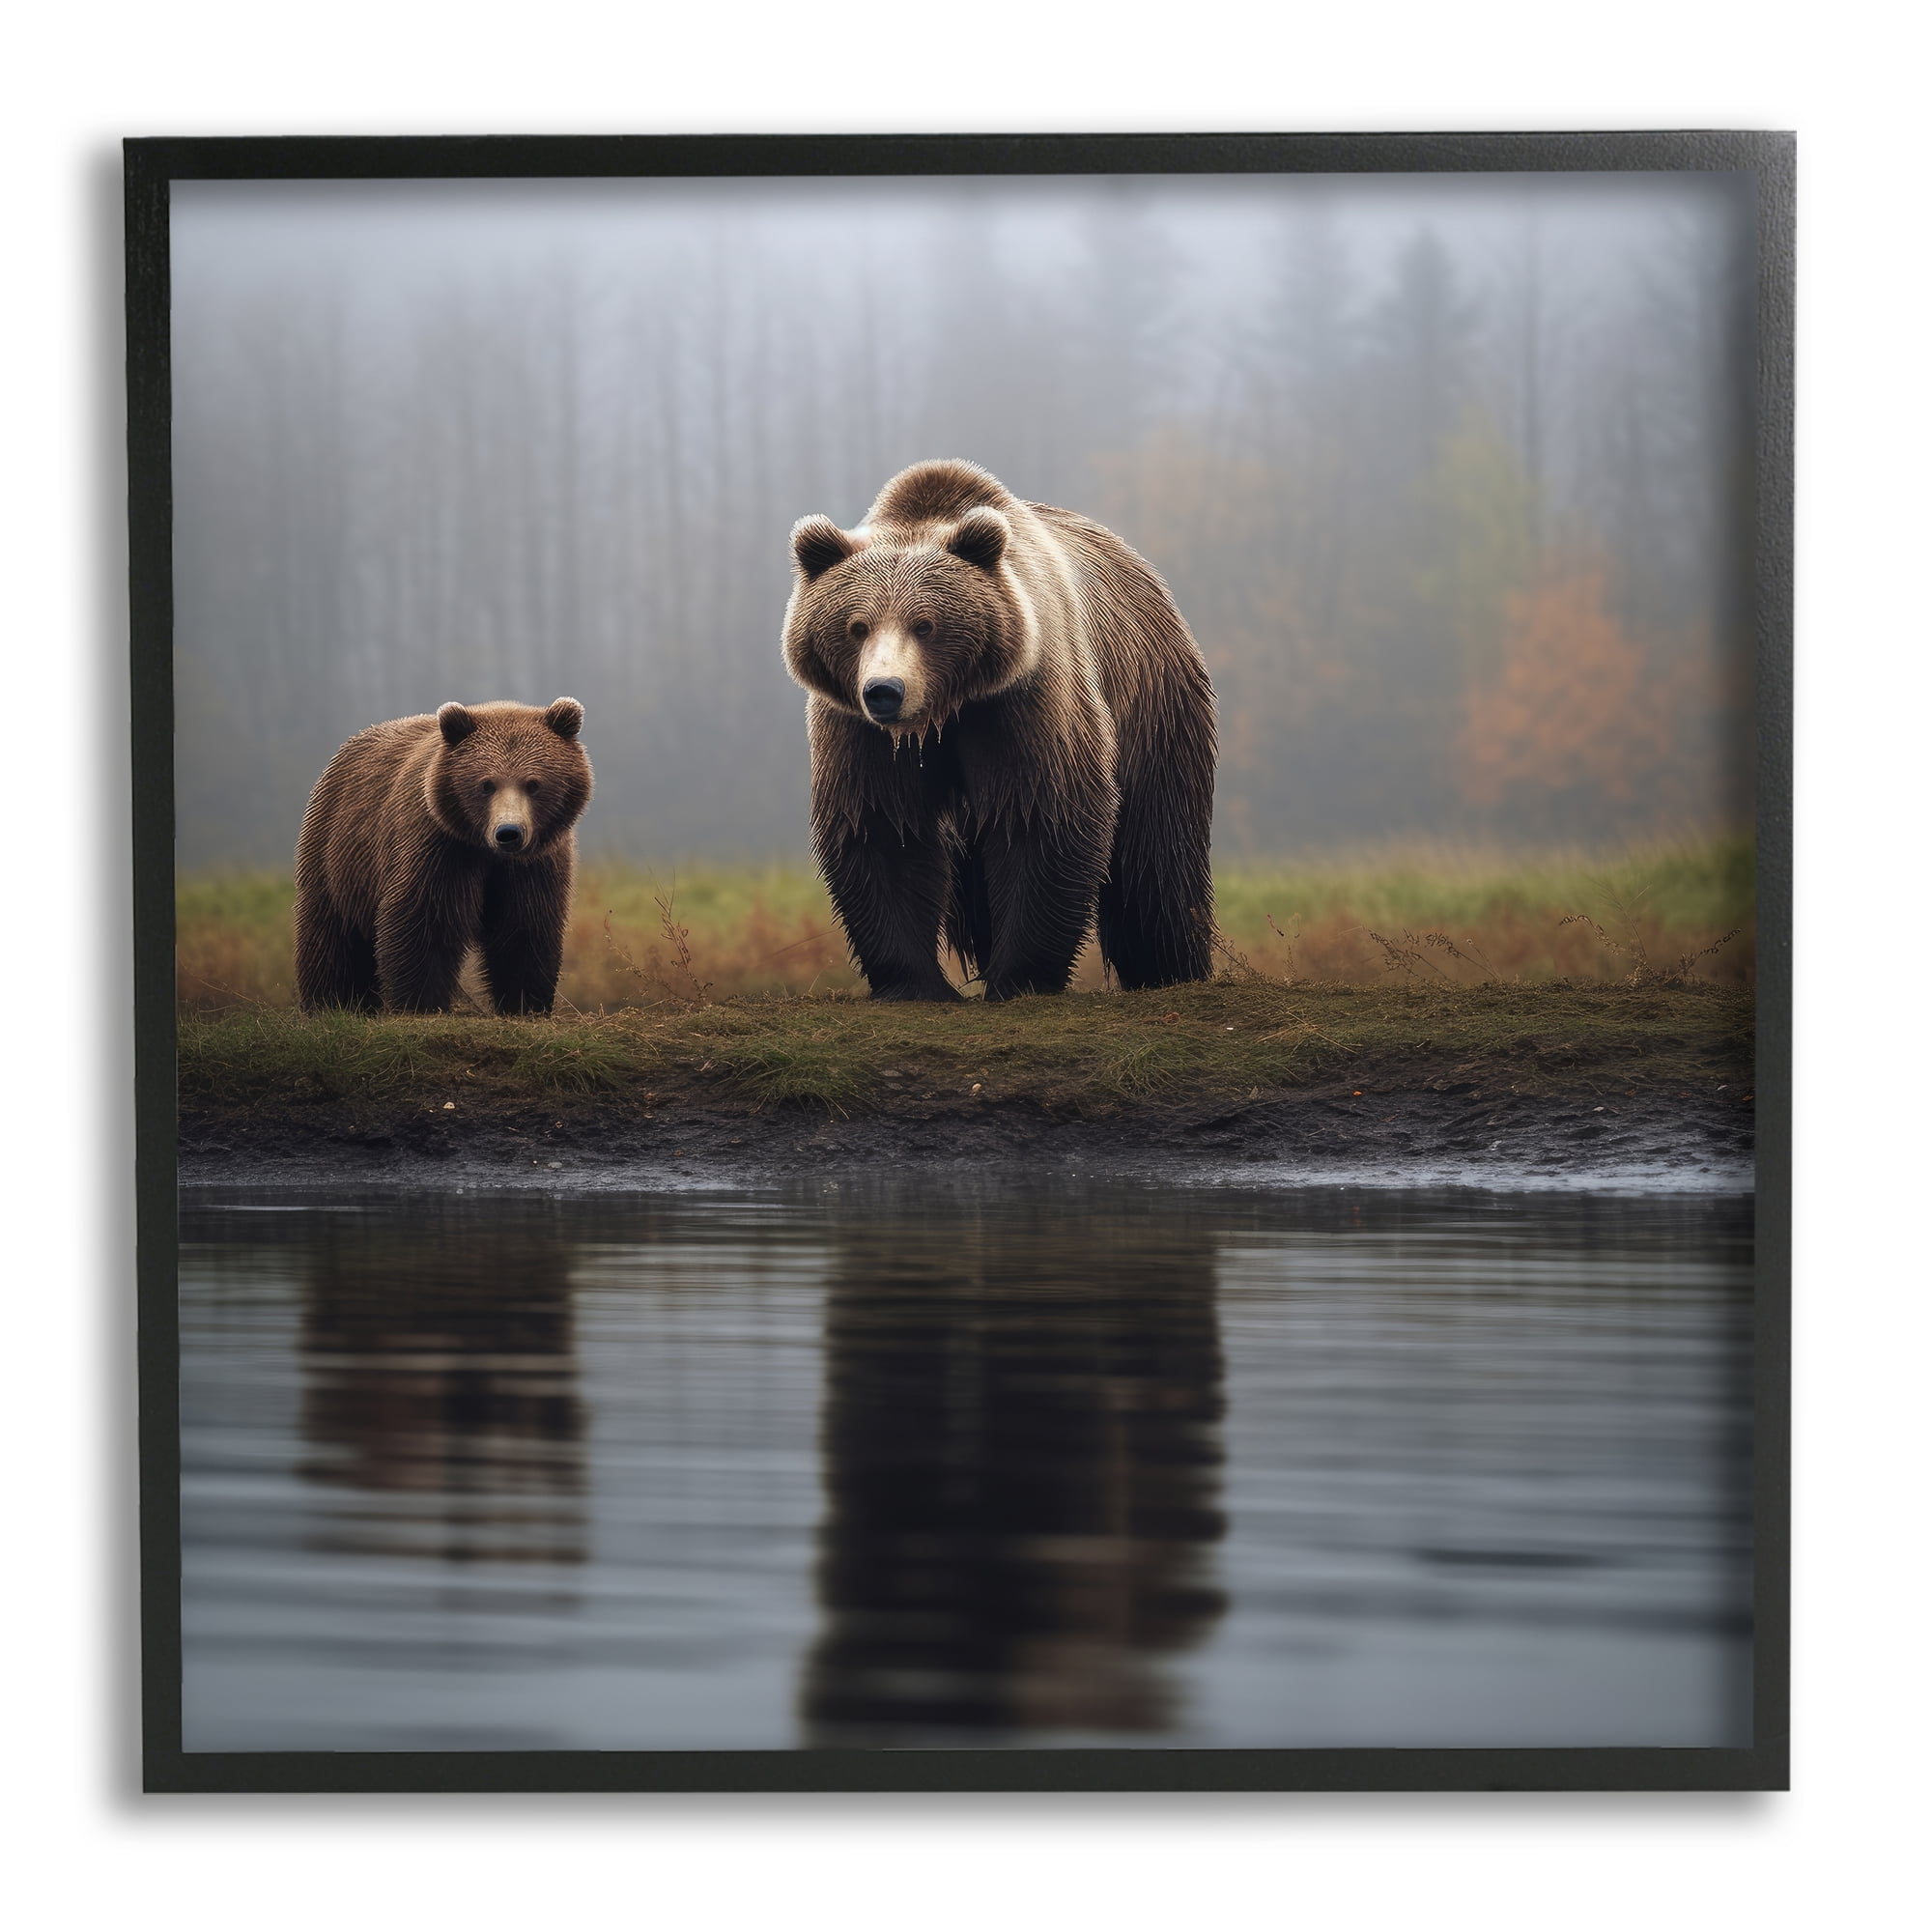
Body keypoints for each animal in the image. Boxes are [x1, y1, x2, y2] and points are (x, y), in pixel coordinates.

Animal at [293, 697, 592, 1015]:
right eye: (486, 784)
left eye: (533, 783)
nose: (508, 832)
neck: (485, 851)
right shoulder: (439, 848)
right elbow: (425, 921)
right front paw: (420, 1002)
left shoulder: (533, 863)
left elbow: (524, 925)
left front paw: (525, 1002)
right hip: (337, 854)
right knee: (331, 937)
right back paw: (331, 1002)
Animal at [781, 459, 1216, 1001]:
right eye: (857, 626)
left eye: (925, 624)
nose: (885, 690)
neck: (944, 712)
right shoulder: (861, 733)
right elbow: (883, 824)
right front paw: (916, 982)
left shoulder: (1023, 703)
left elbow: (1042, 815)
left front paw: (1020, 977)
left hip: (1154, 704)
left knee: (1157, 854)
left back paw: (1170, 967)